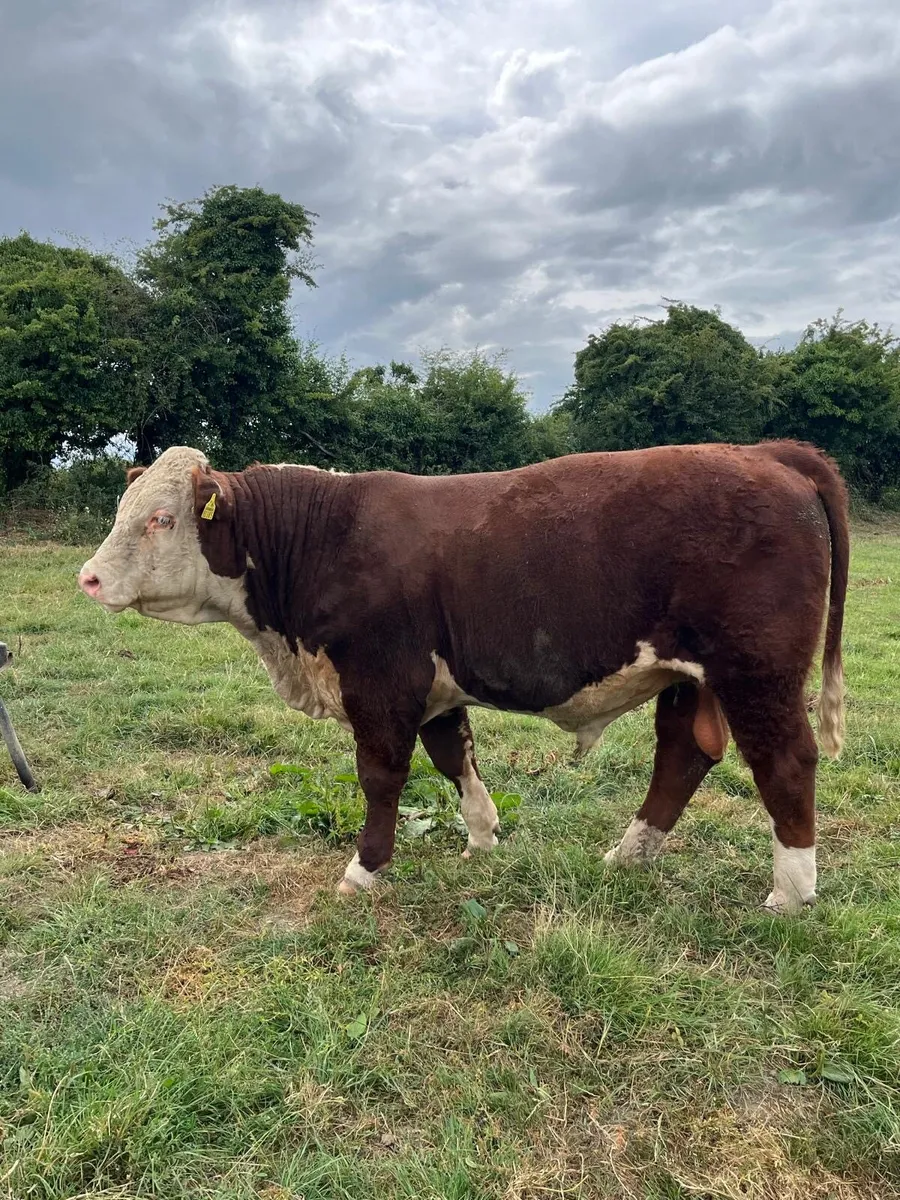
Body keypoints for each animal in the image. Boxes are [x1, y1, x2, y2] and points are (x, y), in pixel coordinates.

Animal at [78, 440, 849, 913]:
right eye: (122, 511)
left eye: (161, 518)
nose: (87, 578)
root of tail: (764, 452)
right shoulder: (432, 686)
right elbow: (454, 755)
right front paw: (482, 838)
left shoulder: (381, 680)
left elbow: (382, 777)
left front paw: (365, 869)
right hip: (691, 676)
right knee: (685, 754)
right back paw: (629, 855)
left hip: (758, 672)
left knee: (785, 761)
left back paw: (791, 891)